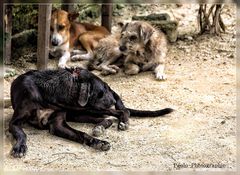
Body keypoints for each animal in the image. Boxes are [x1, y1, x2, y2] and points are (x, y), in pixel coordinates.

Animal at [7, 67, 172, 157]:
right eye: (103, 89)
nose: (112, 98)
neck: (49, 92)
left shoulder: (58, 122)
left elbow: (82, 134)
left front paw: (99, 143)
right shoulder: (14, 122)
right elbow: (22, 133)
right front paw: (20, 147)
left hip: (86, 108)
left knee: (120, 111)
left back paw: (123, 121)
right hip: (80, 111)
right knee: (108, 117)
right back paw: (101, 126)